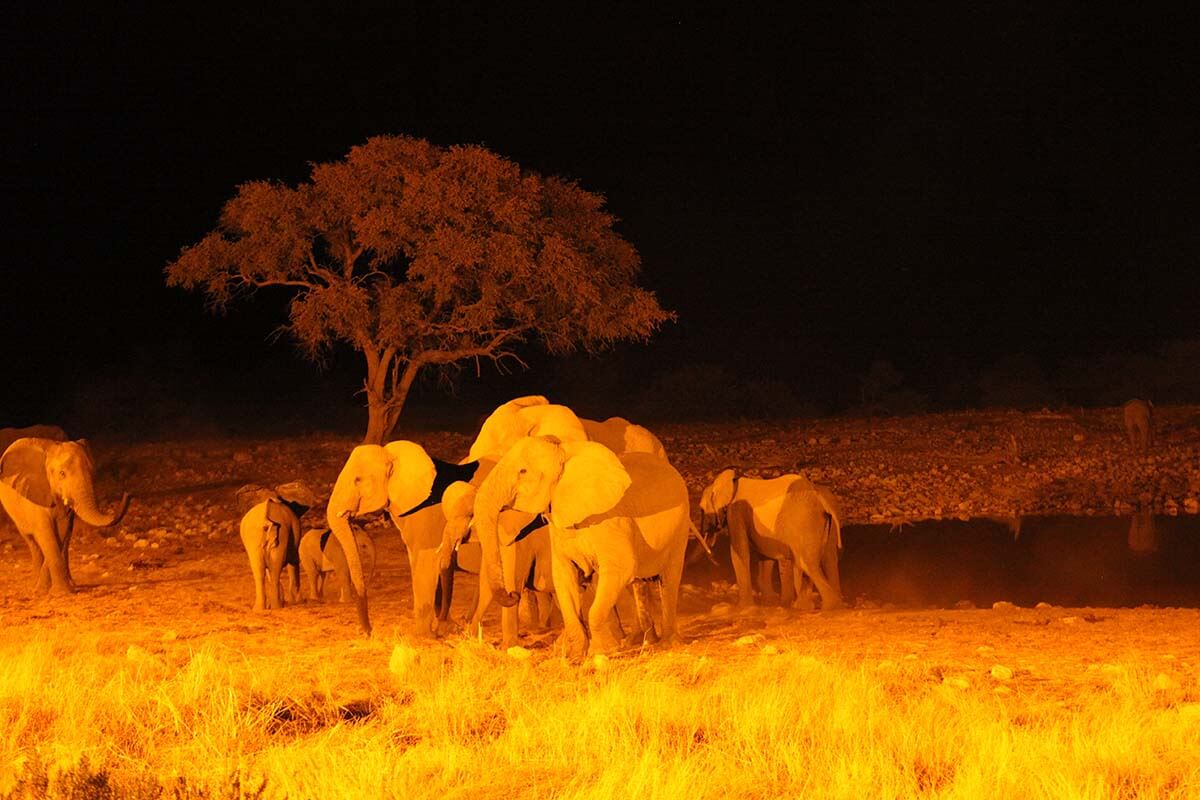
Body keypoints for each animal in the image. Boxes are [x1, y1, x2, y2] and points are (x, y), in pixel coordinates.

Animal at [0, 437, 129, 595]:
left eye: (92, 472)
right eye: (62, 474)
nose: (127, 494)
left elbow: (61, 532)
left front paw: (56, 589)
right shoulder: (35, 494)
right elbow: (47, 534)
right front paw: (53, 591)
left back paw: (68, 583)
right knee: (31, 540)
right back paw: (34, 584)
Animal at [237, 482, 316, 611]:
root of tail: (266, 519)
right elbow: (294, 560)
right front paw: (298, 602)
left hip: (259, 536)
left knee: (260, 569)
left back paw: (262, 608)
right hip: (281, 532)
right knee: (273, 568)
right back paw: (275, 606)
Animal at [469, 436, 691, 658]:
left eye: (523, 471)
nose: (512, 594)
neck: (564, 452)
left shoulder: (612, 521)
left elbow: (622, 567)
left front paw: (601, 652)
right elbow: (564, 576)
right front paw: (575, 655)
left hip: (680, 528)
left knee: (669, 579)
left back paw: (666, 644)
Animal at [699, 469, 844, 611]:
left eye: (701, 509)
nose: (715, 561)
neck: (731, 481)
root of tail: (821, 499)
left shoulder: (736, 512)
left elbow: (739, 553)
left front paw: (743, 607)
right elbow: (766, 557)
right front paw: (769, 603)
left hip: (804, 520)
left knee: (807, 563)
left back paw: (824, 607)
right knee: (829, 559)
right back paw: (826, 606)